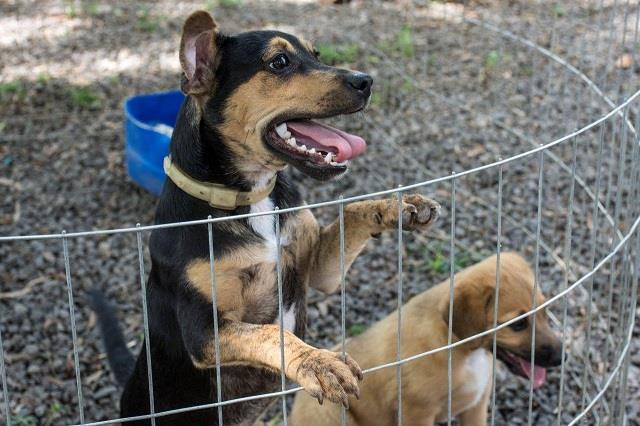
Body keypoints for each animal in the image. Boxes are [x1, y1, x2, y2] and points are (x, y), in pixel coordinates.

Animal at [91, 9, 440, 426]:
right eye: (280, 62)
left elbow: (350, 213)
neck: (250, 198)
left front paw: (397, 207)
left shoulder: (320, 273)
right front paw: (319, 362)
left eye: (316, 54)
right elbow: (271, 334)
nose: (366, 81)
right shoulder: (204, 333)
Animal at [290, 255, 560, 424]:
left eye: (547, 311)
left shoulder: (476, 406)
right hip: (334, 411)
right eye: (518, 324)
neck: (461, 350)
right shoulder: (417, 411)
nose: (561, 357)